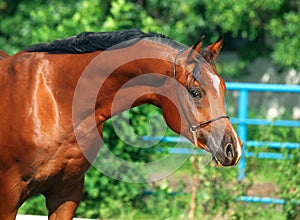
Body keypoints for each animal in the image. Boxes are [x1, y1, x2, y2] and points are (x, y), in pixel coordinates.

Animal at [0, 28, 241, 218]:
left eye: (223, 88)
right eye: (195, 92)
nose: (233, 148)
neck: (54, 99)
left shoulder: (66, 194)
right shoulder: (9, 197)